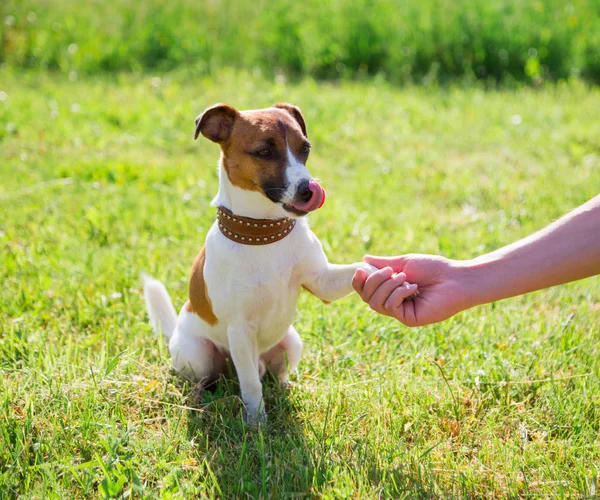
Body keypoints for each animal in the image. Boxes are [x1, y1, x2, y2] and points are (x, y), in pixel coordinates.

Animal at [142, 103, 412, 424]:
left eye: (305, 148)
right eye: (264, 152)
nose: (310, 189)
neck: (264, 233)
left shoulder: (323, 281)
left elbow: (361, 269)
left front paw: (393, 279)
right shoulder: (240, 330)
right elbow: (249, 384)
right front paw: (257, 421)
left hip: (291, 343)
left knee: (273, 375)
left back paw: (288, 388)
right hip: (200, 354)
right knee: (217, 377)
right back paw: (202, 398)